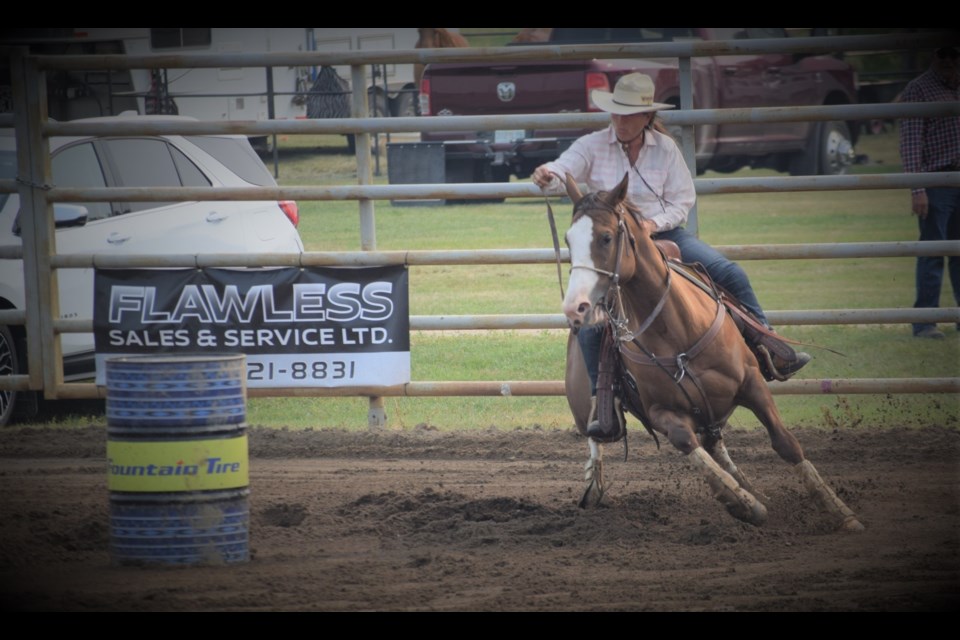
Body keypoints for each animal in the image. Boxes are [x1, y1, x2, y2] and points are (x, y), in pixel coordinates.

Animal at [560, 172, 868, 532]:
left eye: (606, 237)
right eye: (568, 240)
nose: (575, 306)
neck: (675, 330)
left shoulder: (752, 383)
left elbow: (785, 442)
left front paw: (840, 512)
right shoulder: (662, 412)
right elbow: (688, 444)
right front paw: (744, 504)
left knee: (716, 444)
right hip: (584, 404)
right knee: (597, 438)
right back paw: (594, 483)